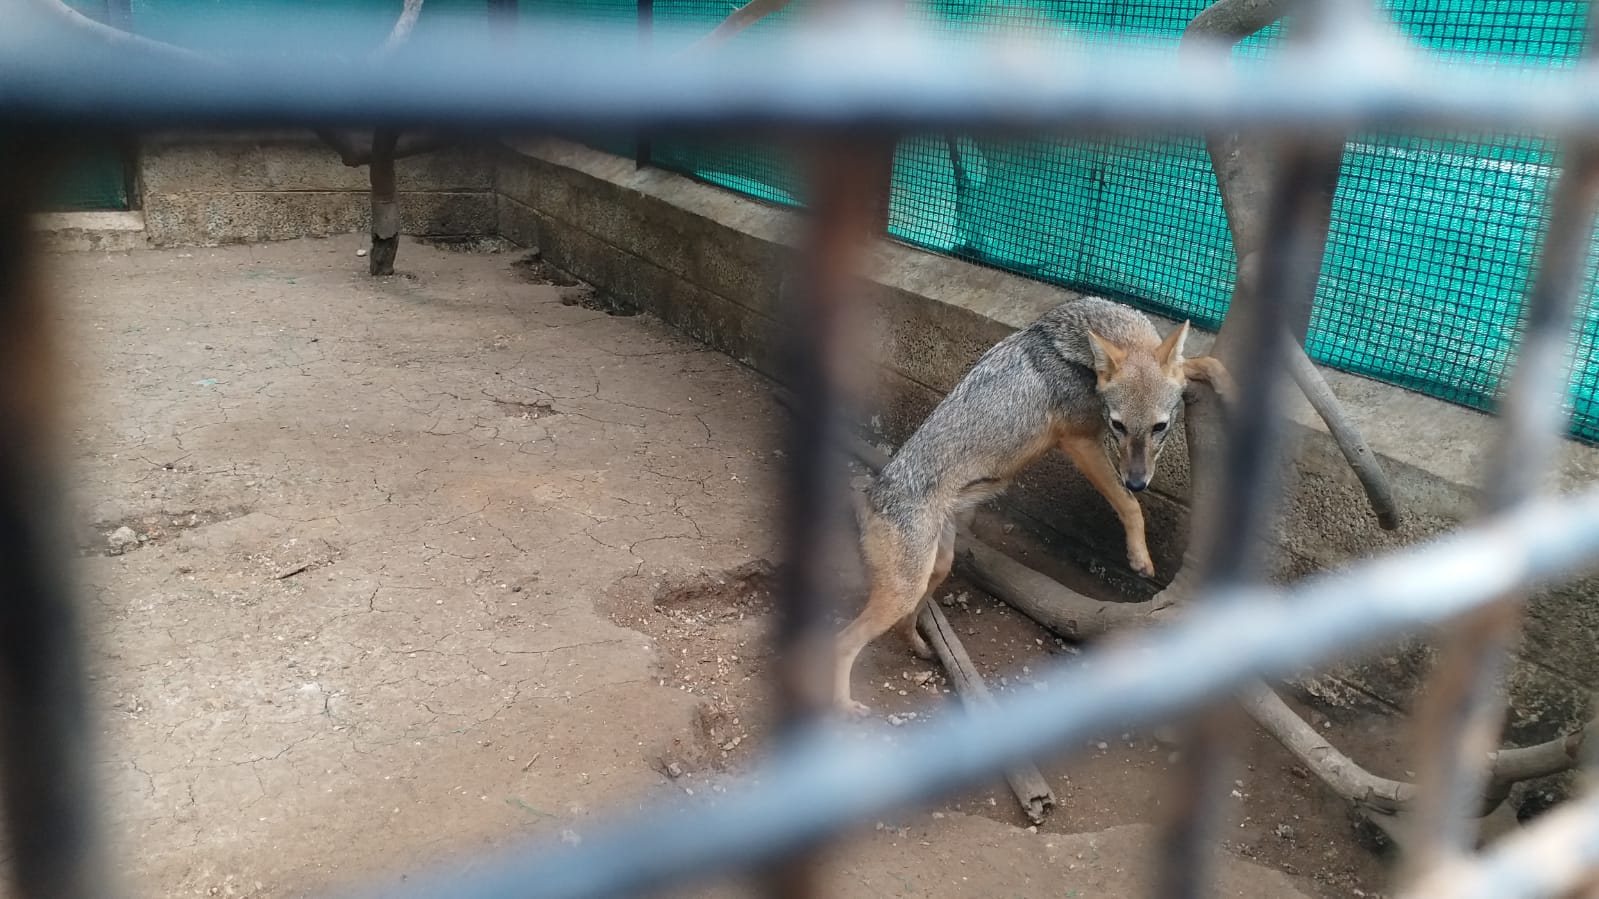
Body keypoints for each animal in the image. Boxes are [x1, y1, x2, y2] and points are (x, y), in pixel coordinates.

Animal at [837, 294, 1234, 713]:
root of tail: (875, 490)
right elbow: (1128, 506)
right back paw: (845, 707)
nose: (1139, 482)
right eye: (1118, 426)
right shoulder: (1080, 442)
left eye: (1160, 427)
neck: (1074, 351)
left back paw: (921, 648)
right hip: (905, 590)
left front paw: (1226, 381)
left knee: (903, 625)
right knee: (841, 643)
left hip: (937, 569)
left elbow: (1193, 363)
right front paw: (1139, 558)